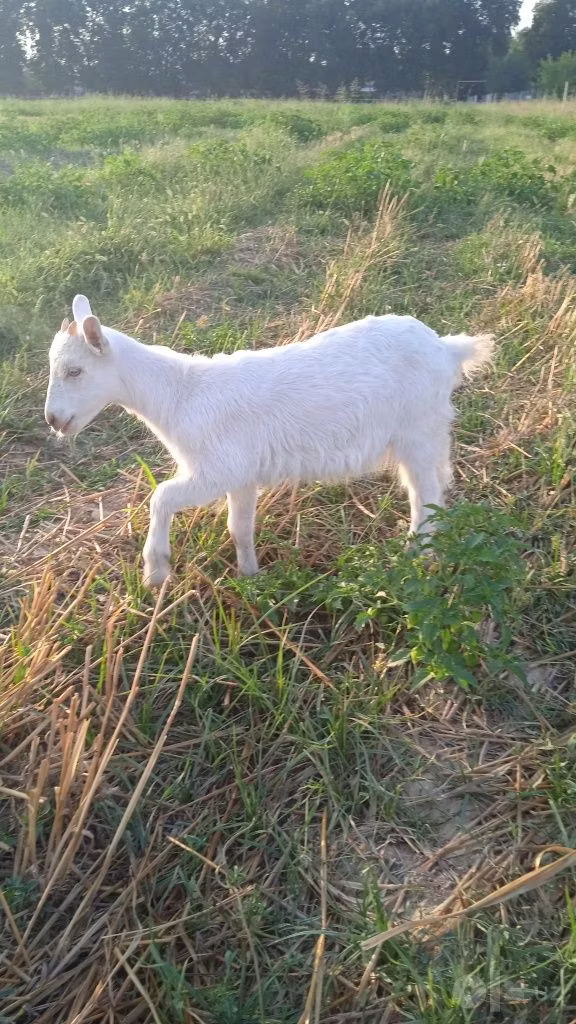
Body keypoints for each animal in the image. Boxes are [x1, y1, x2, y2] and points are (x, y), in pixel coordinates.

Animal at [45, 295, 493, 586]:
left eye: (74, 371)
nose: (53, 420)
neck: (181, 394)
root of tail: (445, 348)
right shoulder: (242, 475)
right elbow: (239, 527)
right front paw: (250, 576)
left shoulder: (217, 468)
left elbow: (162, 497)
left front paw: (155, 570)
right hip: (429, 429)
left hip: (417, 429)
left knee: (426, 496)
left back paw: (416, 559)